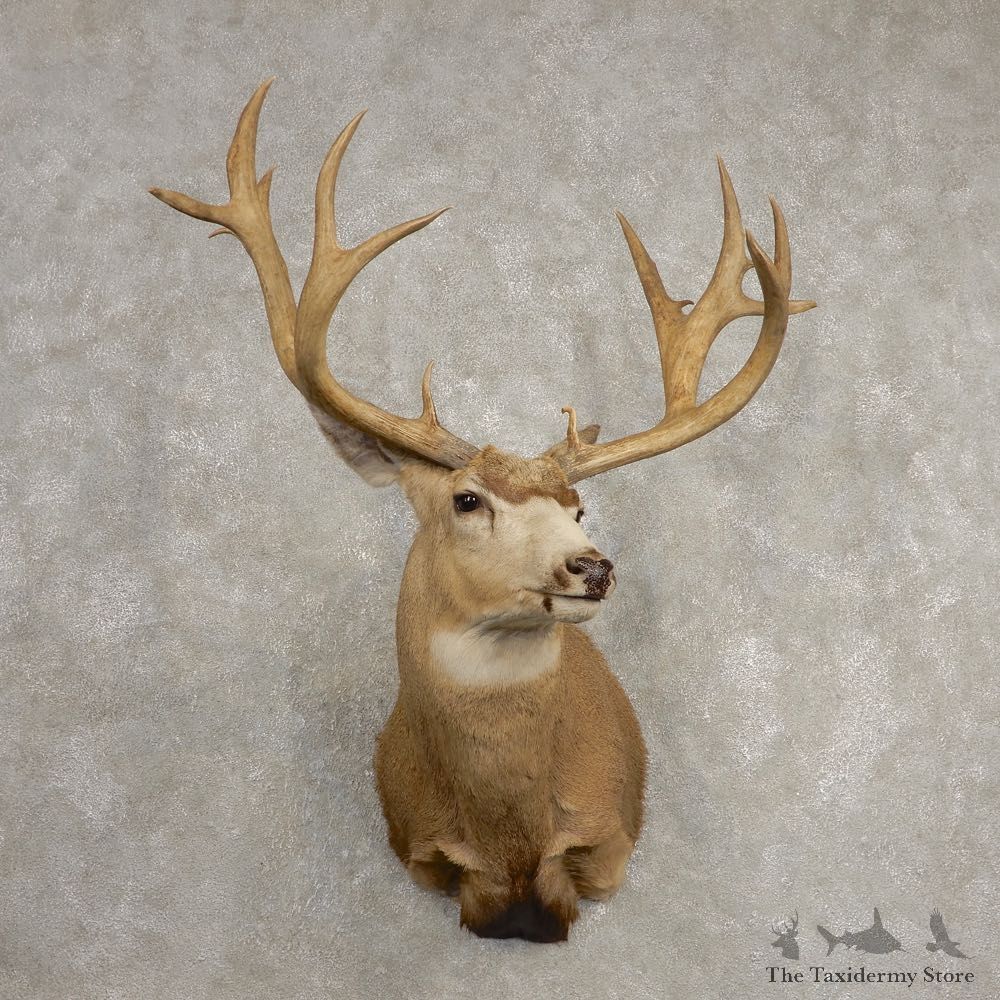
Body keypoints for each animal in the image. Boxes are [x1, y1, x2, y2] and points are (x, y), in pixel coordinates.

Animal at [149, 79, 815, 943]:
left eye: (578, 504)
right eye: (467, 499)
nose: (592, 565)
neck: (510, 835)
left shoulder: (609, 839)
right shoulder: (417, 844)